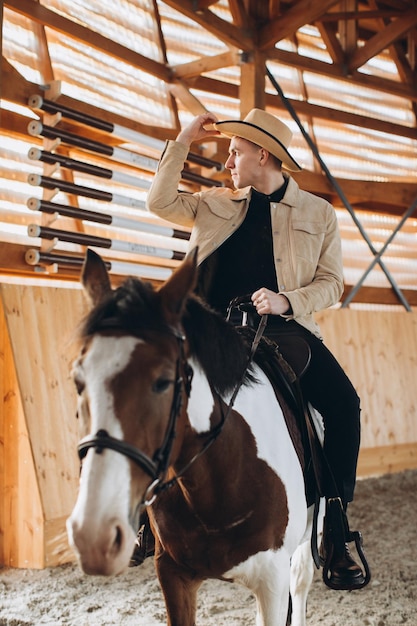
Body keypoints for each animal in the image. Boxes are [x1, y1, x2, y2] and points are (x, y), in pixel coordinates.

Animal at [67, 249, 322, 624]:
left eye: (162, 381)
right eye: (78, 381)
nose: (93, 535)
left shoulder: (271, 578)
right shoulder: (173, 574)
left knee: (300, 580)